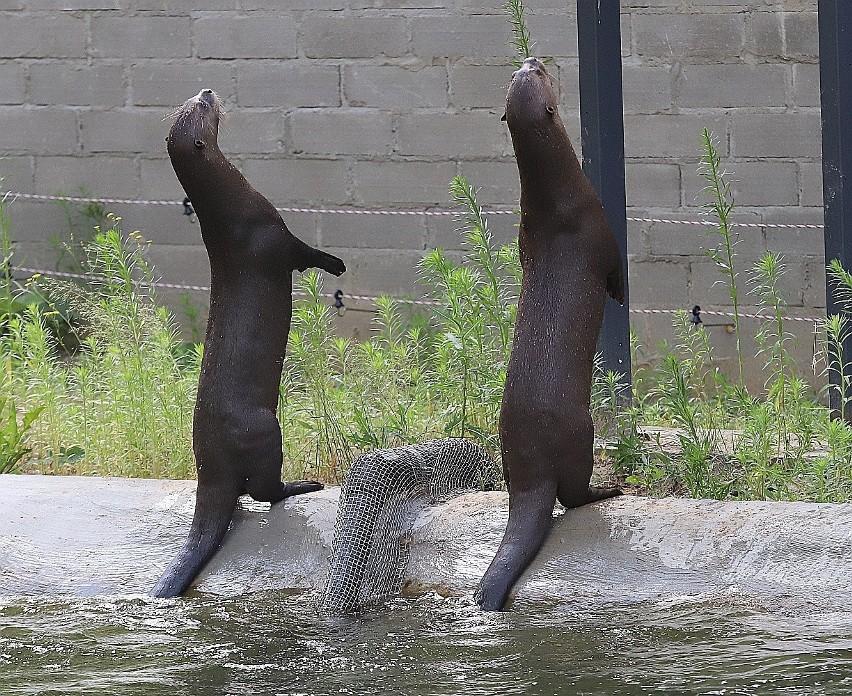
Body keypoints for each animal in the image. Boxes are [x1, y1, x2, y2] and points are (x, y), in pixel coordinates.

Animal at [151, 88, 346, 600]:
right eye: (201, 110)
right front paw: (337, 263)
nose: (206, 91)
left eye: (191, 101)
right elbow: (307, 255)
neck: (233, 214)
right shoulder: (275, 239)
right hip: (264, 430)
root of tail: (210, 469)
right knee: (263, 491)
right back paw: (304, 485)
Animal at [472, 61, 624, 616]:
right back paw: (609, 489)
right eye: (539, 74)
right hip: (581, 432)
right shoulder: (603, 237)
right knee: (574, 494)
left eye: (525, 71)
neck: (556, 203)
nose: (534, 59)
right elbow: (618, 282)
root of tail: (533, 472)